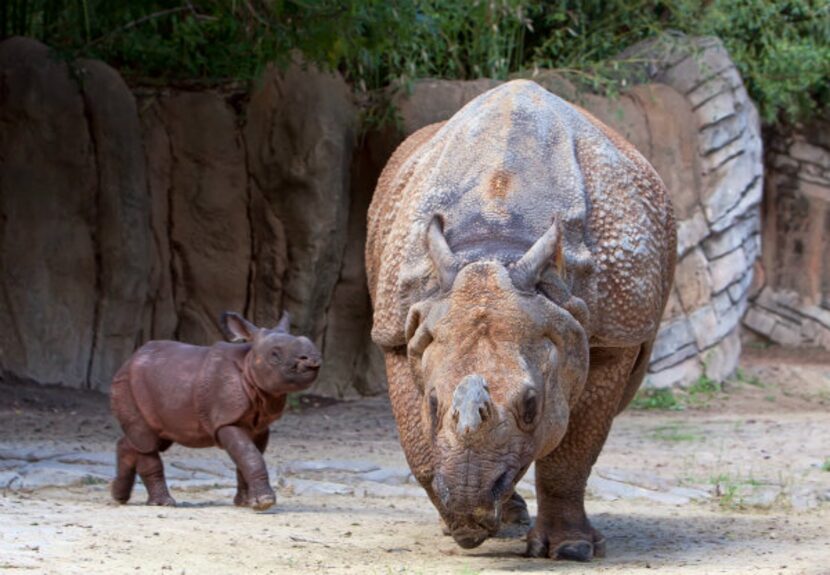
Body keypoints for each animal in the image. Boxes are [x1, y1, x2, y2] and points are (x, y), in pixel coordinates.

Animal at [109, 312, 320, 510]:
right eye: (275, 355)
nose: (313, 358)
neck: (248, 364)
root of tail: (128, 360)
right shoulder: (225, 420)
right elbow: (250, 456)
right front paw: (264, 503)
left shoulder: (260, 426)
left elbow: (246, 458)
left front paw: (245, 503)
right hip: (128, 384)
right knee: (146, 442)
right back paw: (163, 503)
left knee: (149, 439)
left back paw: (119, 497)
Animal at [368, 79, 680, 560]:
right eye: (434, 403)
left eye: (531, 405)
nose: (470, 504)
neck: (496, 248)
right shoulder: (402, 329)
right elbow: (417, 445)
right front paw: (458, 523)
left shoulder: (613, 337)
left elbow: (573, 451)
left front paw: (571, 549)